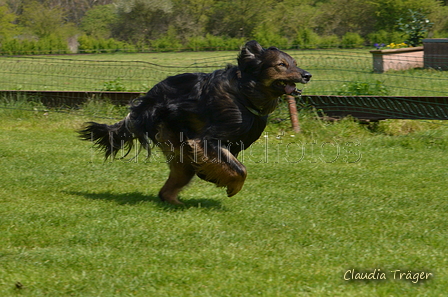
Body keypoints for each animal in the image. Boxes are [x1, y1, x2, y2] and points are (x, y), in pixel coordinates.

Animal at [79, 40, 312, 205]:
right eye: (281, 65)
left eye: (295, 64)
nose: (307, 75)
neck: (244, 94)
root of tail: (145, 103)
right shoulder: (207, 140)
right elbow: (239, 168)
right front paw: (232, 186)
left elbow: (231, 164)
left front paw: (217, 178)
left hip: (181, 156)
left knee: (166, 190)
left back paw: (175, 202)